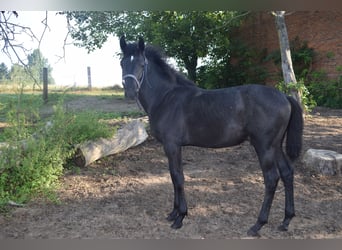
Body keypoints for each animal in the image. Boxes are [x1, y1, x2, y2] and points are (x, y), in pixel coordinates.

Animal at [119, 35, 304, 236]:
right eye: (122, 63)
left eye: (141, 64)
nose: (130, 92)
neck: (166, 97)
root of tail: (285, 97)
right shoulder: (171, 148)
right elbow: (173, 176)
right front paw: (173, 213)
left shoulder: (172, 145)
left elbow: (178, 176)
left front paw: (180, 217)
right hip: (276, 146)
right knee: (287, 173)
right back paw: (286, 220)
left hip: (264, 146)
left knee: (271, 179)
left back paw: (258, 224)